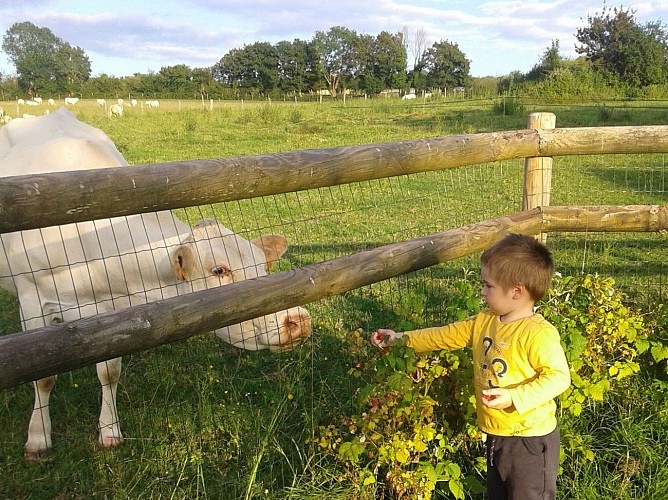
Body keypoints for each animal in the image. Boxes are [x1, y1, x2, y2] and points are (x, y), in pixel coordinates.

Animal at [0, 109, 314, 460]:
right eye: (219, 270)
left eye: (263, 264)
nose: (297, 319)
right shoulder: (32, 302)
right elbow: (42, 377)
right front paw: (38, 438)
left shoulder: (113, 312)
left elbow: (109, 372)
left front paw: (109, 431)